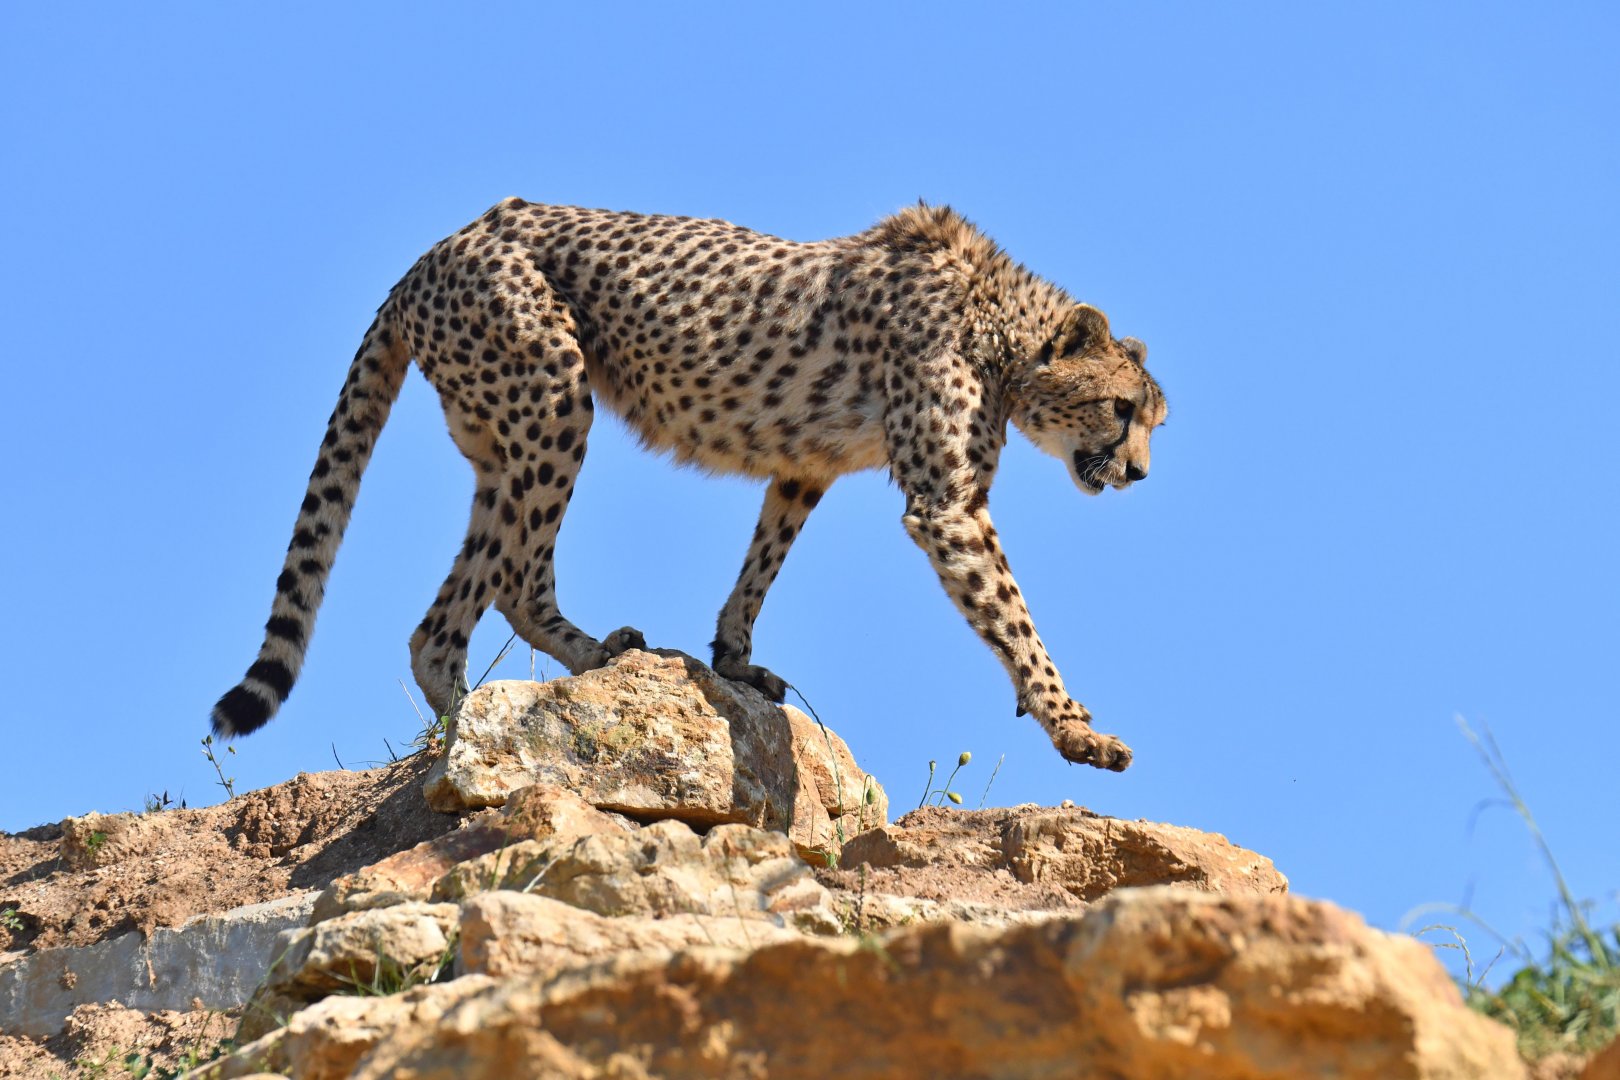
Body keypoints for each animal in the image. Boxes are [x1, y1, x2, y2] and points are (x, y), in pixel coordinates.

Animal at [212, 199, 1167, 771]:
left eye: (1154, 419)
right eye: (1122, 409)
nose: (1137, 473)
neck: (1001, 327)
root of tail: (444, 243)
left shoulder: (804, 467)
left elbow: (763, 560)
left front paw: (733, 657)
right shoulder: (948, 507)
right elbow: (1013, 616)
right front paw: (1074, 726)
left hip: (506, 439)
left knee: (481, 596)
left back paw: (550, 677)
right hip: (554, 396)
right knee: (480, 598)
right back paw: (498, 718)